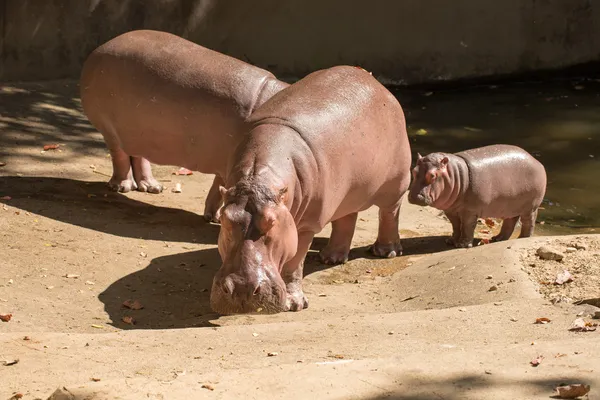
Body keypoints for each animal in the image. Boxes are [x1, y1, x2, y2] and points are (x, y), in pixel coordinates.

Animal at [79, 29, 288, 220]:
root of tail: (99, 48)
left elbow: (218, 188)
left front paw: (214, 217)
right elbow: (220, 188)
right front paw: (215, 218)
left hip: (138, 130)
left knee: (138, 155)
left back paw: (153, 187)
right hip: (111, 129)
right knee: (120, 155)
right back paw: (122, 187)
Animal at [210, 66, 412, 316]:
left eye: (272, 222)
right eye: (225, 219)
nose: (242, 290)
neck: (258, 179)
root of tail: (376, 82)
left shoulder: (306, 225)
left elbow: (294, 264)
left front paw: (294, 304)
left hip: (396, 183)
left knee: (389, 213)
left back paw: (386, 251)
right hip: (345, 193)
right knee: (346, 218)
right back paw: (331, 258)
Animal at [410, 145, 548, 247]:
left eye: (432, 175)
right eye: (413, 171)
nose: (414, 196)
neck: (455, 174)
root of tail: (537, 162)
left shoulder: (470, 211)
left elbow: (467, 226)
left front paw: (462, 245)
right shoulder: (450, 210)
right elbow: (455, 225)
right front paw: (450, 241)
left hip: (530, 207)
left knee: (528, 222)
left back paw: (522, 238)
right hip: (510, 207)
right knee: (510, 222)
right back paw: (497, 239)